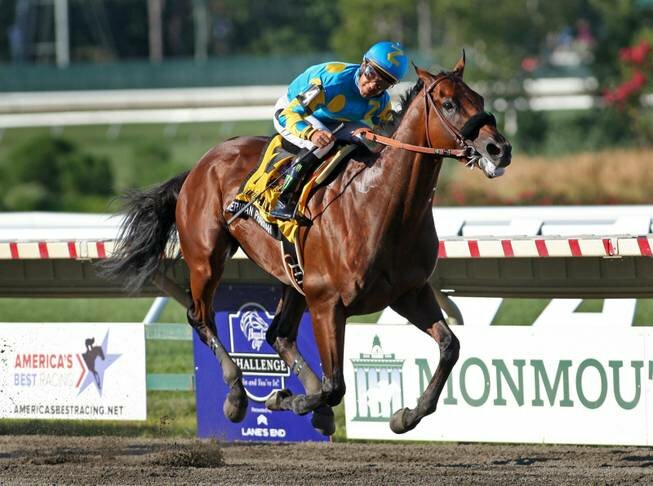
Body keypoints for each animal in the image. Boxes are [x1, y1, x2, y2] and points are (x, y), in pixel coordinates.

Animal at [103, 53, 512, 435]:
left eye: (479, 97)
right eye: (449, 104)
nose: (499, 148)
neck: (380, 206)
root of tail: (200, 165)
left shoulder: (408, 292)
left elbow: (450, 348)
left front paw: (404, 417)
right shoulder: (328, 303)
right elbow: (335, 385)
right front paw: (286, 399)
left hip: (293, 278)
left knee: (278, 334)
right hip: (207, 258)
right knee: (201, 316)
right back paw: (237, 396)